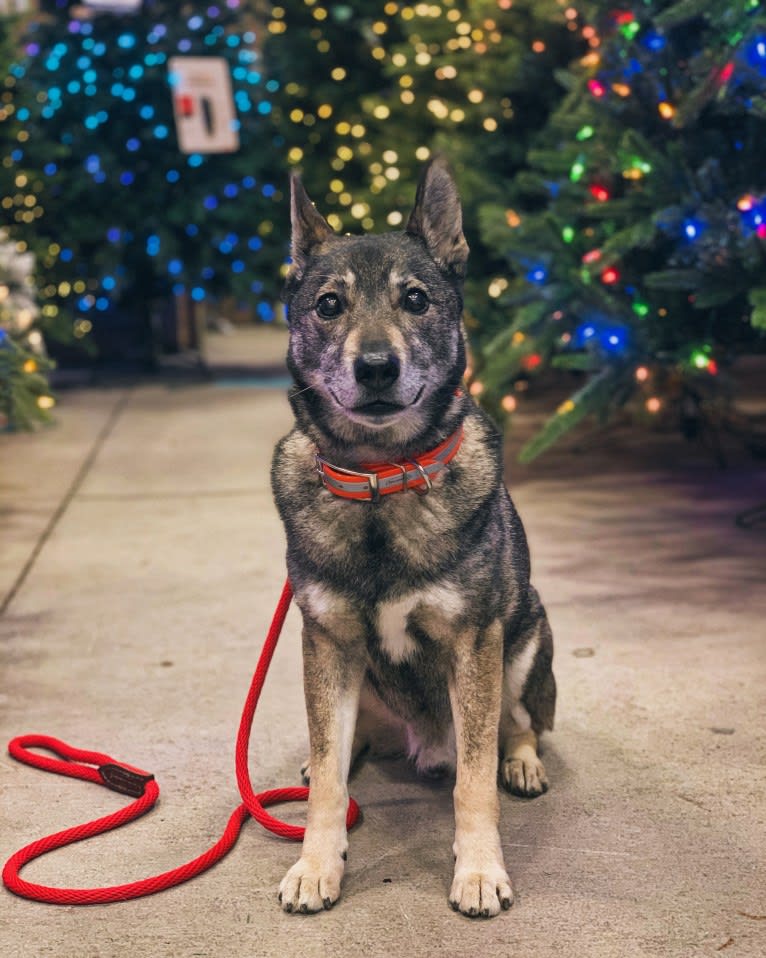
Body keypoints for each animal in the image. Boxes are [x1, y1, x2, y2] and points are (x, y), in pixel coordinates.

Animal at [272, 159, 556, 924]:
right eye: (329, 305)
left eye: (417, 299)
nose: (375, 366)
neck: (381, 480)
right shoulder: (326, 640)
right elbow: (328, 781)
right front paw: (316, 864)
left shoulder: (474, 644)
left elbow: (474, 780)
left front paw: (480, 870)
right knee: (344, 740)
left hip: (527, 638)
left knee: (518, 723)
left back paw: (522, 760)